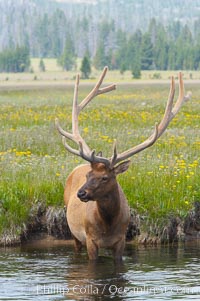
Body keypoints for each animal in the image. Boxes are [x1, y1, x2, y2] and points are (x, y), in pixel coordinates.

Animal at [54, 67, 191, 258]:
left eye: (105, 177)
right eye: (88, 175)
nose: (81, 193)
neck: (108, 226)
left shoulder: (121, 240)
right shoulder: (90, 239)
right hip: (73, 232)